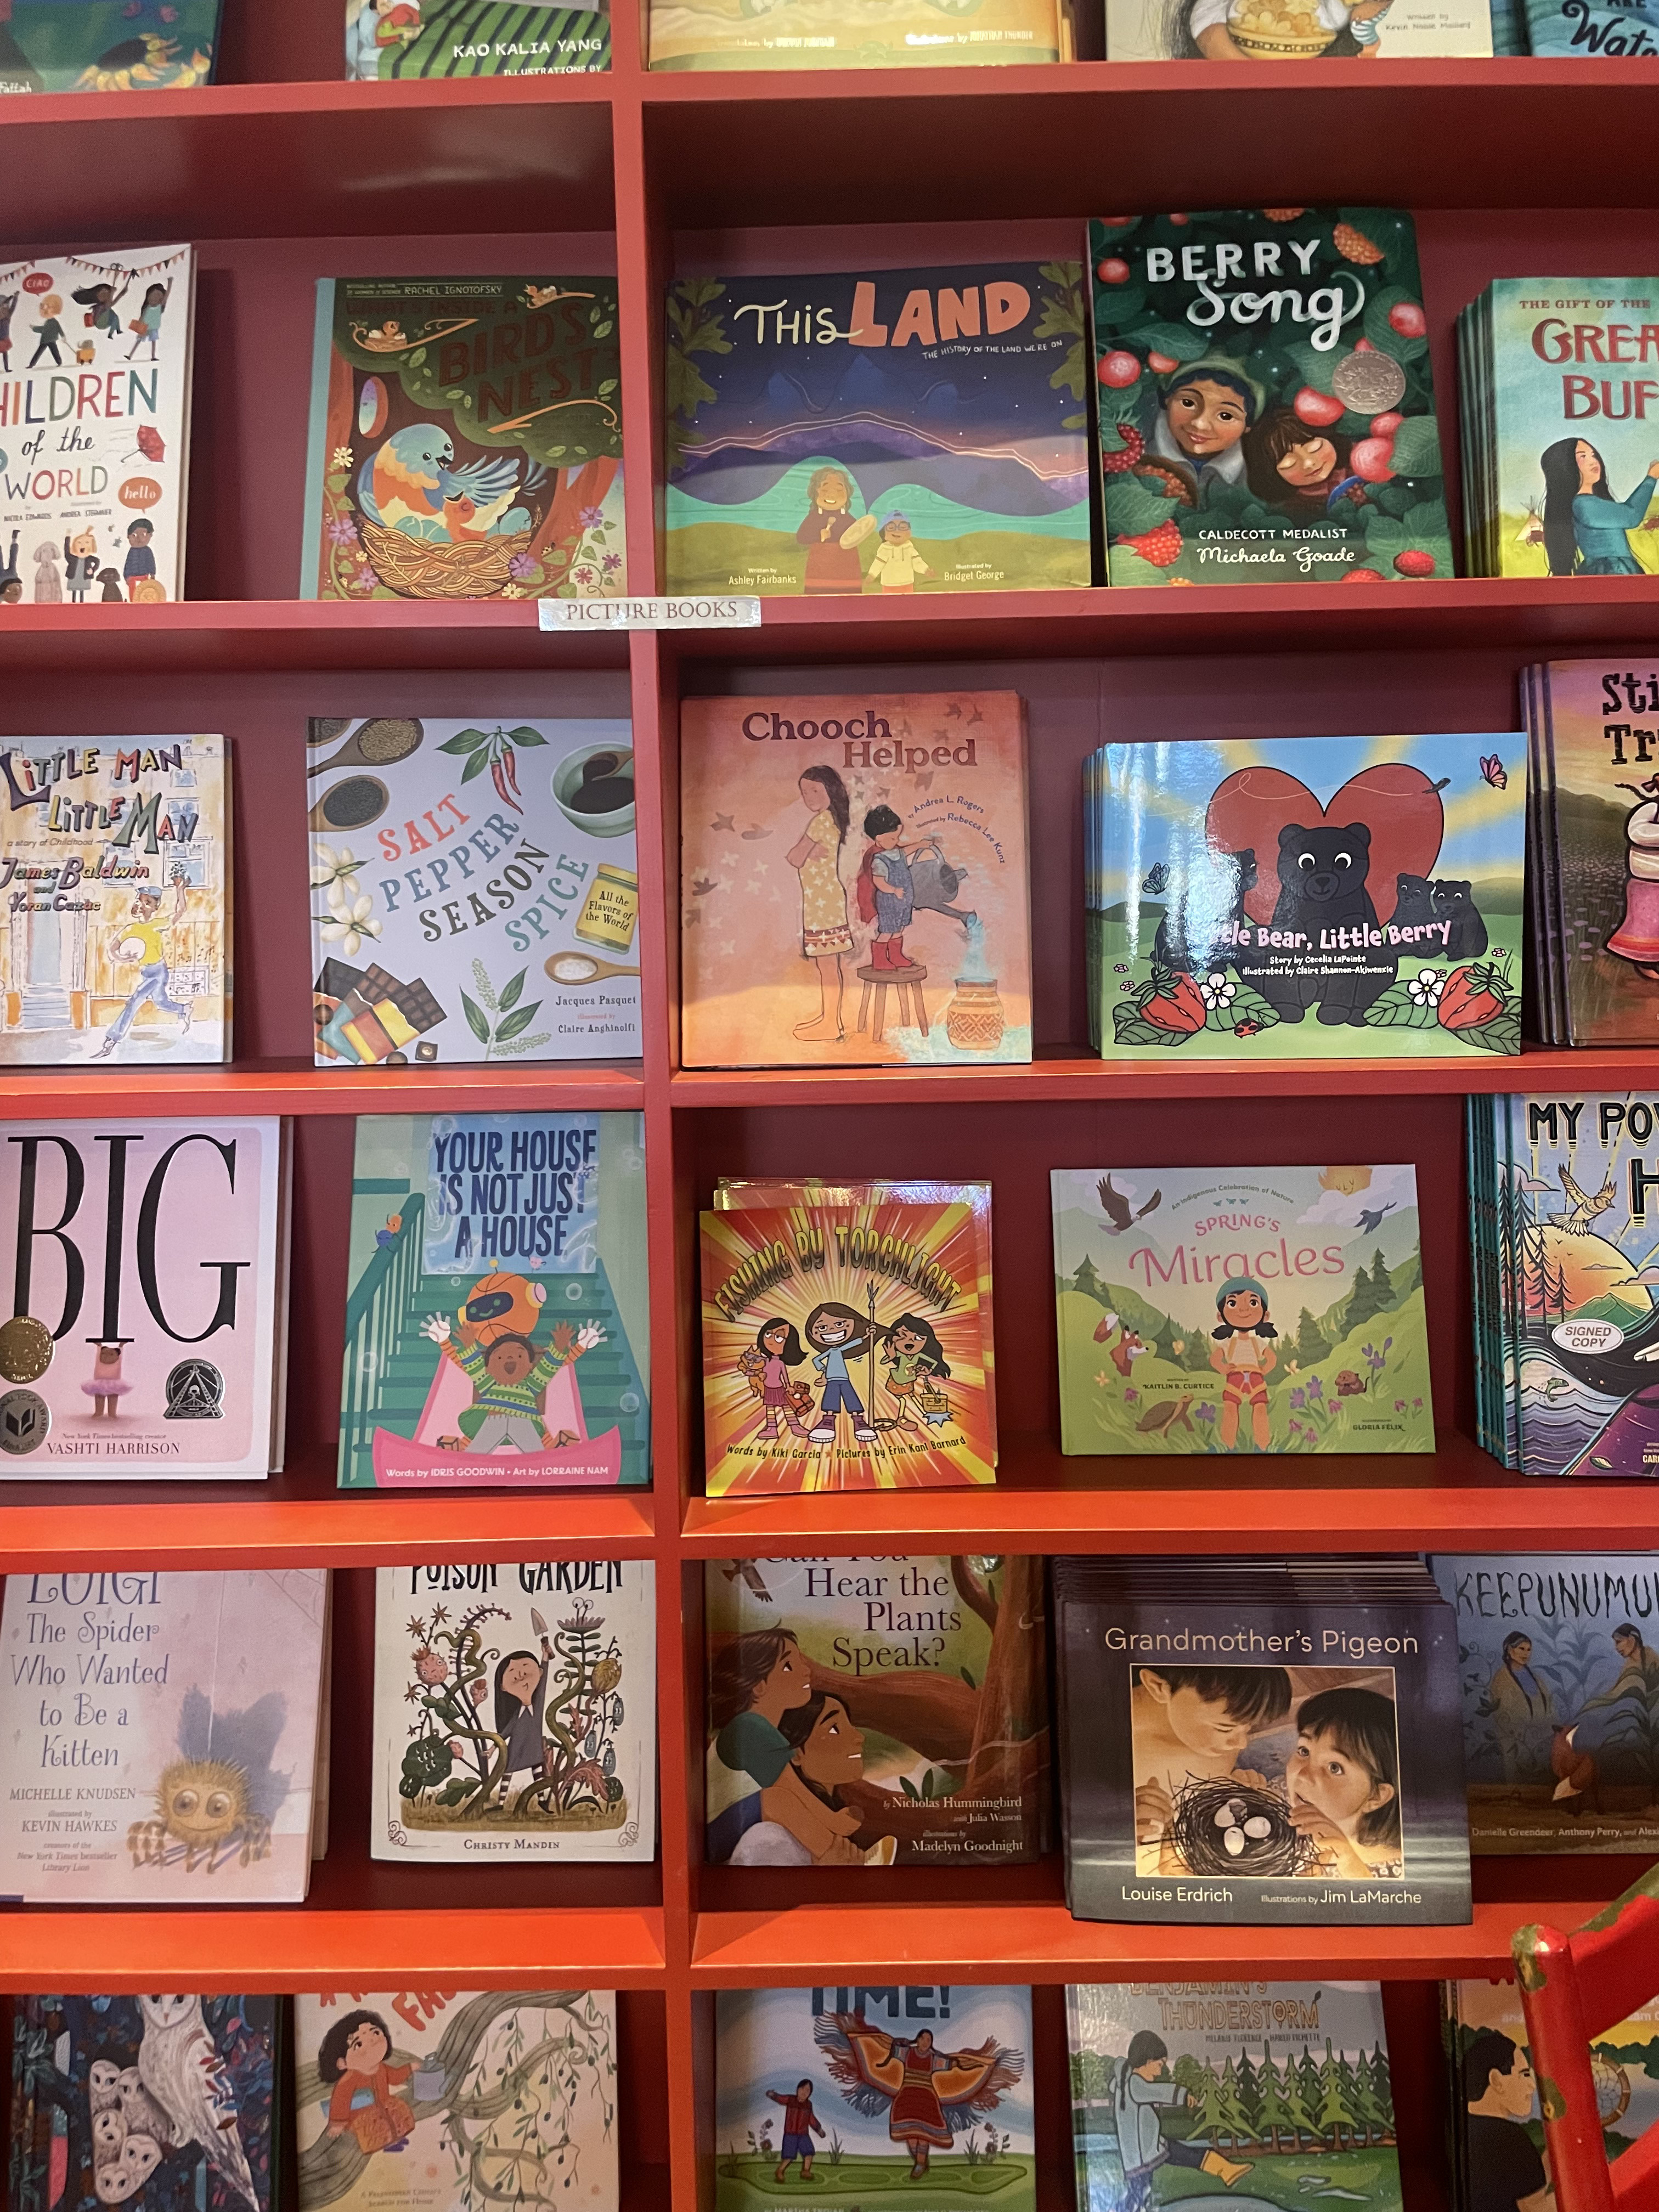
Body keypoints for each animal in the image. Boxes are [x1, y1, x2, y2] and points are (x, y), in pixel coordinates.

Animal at [1243, 822, 1396, 1027]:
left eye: (1343, 861)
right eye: (1306, 861)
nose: (1323, 880)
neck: (1321, 905)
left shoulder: (1351, 921)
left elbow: (1345, 972)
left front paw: (1334, 1013)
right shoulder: (1292, 924)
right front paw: (1289, 1010)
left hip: (1380, 958)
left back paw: (1357, 1017)